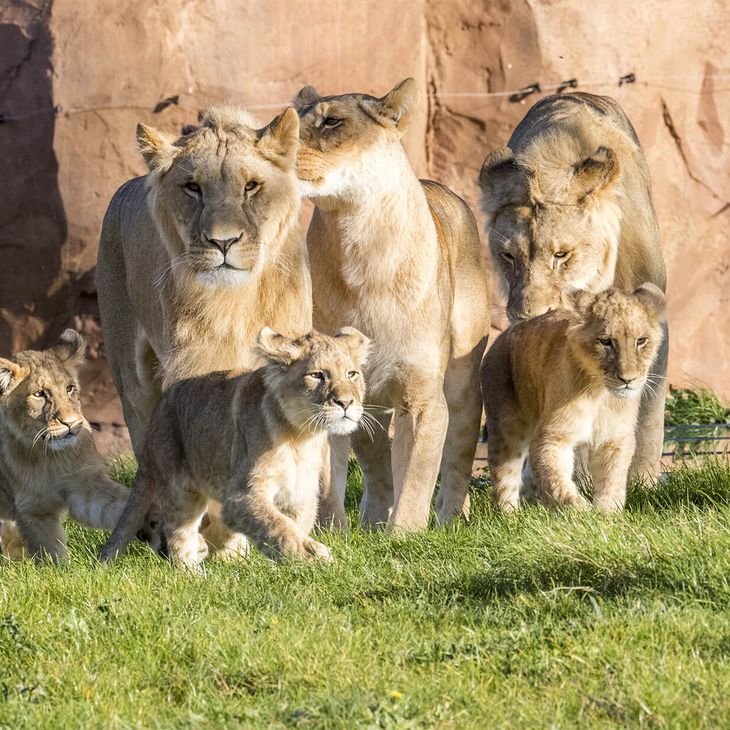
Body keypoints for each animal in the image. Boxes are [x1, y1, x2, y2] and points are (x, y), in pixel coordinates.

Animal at [0, 330, 135, 562]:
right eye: (39, 394)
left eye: (69, 389)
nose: (71, 423)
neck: (50, 458)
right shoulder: (33, 510)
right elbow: (51, 553)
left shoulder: (84, 485)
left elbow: (120, 505)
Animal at [96, 105, 313, 554]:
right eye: (192, 188)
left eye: (251, 186)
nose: (223, 242)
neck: (238, 303)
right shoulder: (195, 370)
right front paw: (223, 543)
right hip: (132, 377)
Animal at [99, 327, 370, 569]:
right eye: (317, 375)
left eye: (352, 374)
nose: (346, 402)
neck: (300, 436)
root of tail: (158, 412)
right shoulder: (240, 496)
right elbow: (276, 525)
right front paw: (313, 556)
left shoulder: (300, 496)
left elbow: (290, 525)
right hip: (180, 492)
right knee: (178, 536)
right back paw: (194, 575)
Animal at [292, 78, 491, 532]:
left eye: (332, 122)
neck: (358, 241)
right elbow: (336, 476)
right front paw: (336, 534)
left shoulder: (423, 398)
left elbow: (416, 475)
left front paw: (405, 535)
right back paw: (370, 519)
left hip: (463, 382)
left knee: (458, 456)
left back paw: (451, 518)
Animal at [482, 284, 666, 512]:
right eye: (605, 342)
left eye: (641, 341)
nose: (627, 379)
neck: (600, 395)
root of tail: (503, 336)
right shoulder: (553, 435)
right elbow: (556, 479)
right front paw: (581, 511)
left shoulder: (615, 438)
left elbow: (612, 479)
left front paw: (607, 513)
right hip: (506, 426)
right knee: (504, 475)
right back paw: (510, 514)